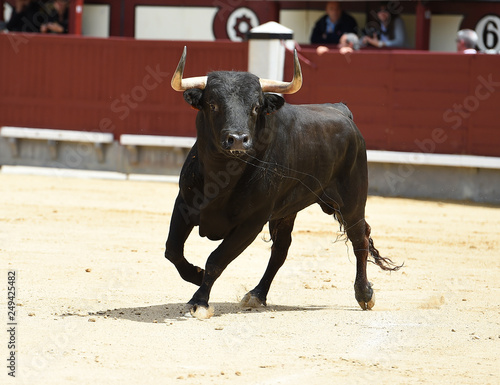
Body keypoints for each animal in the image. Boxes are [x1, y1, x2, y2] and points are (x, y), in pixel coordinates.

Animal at [166, 48, 400, 318]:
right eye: (212, 104)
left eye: (256, 107)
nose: (238, 139)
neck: (222, 176)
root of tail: (341, 109)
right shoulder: (184, 204)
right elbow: (172, 249)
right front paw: (196, 275)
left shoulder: (251, 222)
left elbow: (216, 259)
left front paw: (200, 301)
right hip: (287, 211)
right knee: (281, 250)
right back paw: (257, 294)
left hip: (352, 200)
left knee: (359, 238)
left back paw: (364, 294)